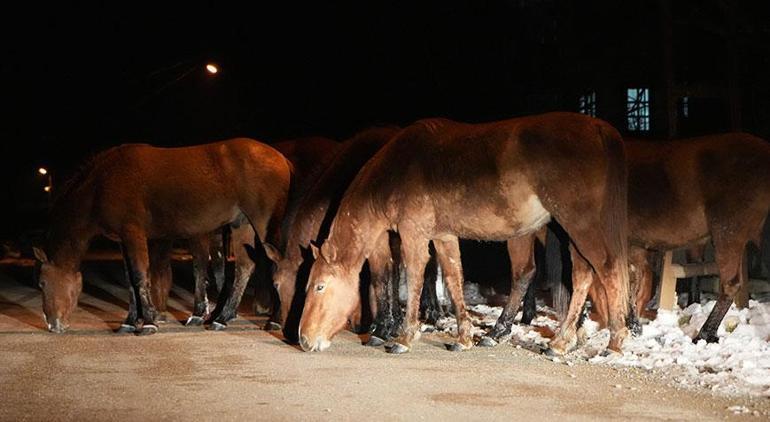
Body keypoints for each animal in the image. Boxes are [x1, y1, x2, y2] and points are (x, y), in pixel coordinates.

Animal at [32, 140, 292, 334]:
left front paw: (148, 322)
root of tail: (281, 158)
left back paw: (273, 319)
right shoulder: (123, 240)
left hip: (262, 222)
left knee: (276, 262)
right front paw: (130, 321)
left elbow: (139, 276)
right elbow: (129, 280)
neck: (102, 183)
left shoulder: (134, 233)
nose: (52, 324)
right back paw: (222, 318)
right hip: (241, 224)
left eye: (42, 283)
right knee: (244, 267)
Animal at [296, 113, 628, 356]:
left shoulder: (414, 234)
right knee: (573, 274)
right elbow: (453, 278)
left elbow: (415, 276)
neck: (398, 170)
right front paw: (464, 336)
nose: (303, 339)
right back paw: (548, 339)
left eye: (320, 287)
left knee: (607, 269)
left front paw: (404, 337)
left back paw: (612, 342)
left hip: (578, 225)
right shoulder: (443, 236)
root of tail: (600, 129)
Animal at [588, 134, 768, 342]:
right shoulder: (635, 245)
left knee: (730, 284)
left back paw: (705, 333)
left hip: (728, 232)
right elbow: (634, 280)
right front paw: (633, 326)